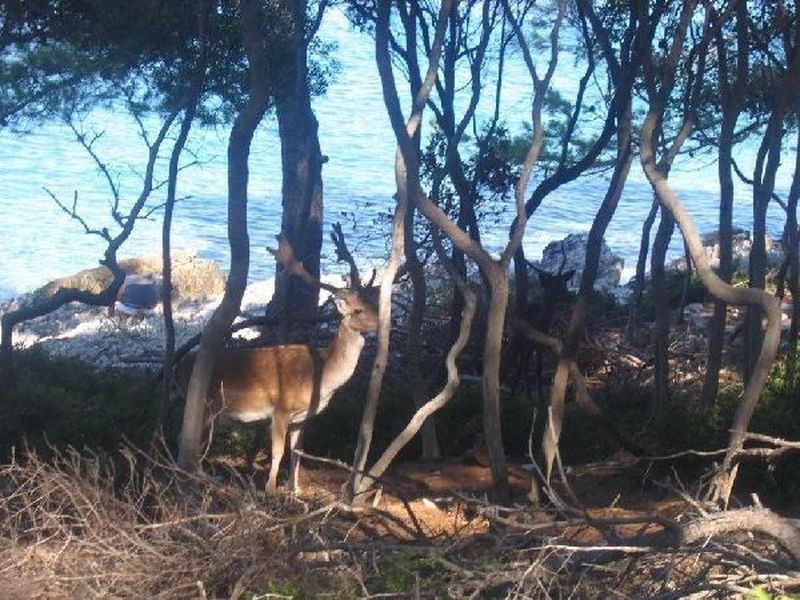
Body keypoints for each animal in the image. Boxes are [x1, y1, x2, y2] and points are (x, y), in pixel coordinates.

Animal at [178, 231, 378, 492]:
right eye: (357, 310)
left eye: (374, 304)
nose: (384, 321)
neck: (320, 376)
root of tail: (179, 367)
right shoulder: (281, 408)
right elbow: (278, 451)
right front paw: (270, 489)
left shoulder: (302, 418)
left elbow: (297, 452)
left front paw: (295, 489)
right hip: (207, 403)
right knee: (191, 437)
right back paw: (201, 476)